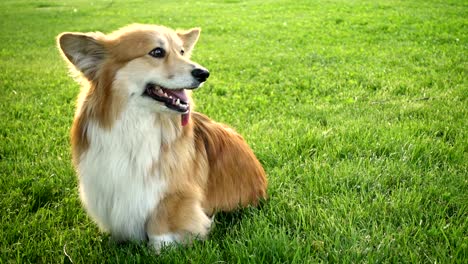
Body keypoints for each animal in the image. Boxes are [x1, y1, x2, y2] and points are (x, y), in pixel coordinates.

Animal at [55, 23, 266, 251]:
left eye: (181, 52)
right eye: (157, 52)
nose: (204, 73)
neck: (135, 123)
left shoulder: (174, 194)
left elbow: (160, 225)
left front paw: (160, 248)